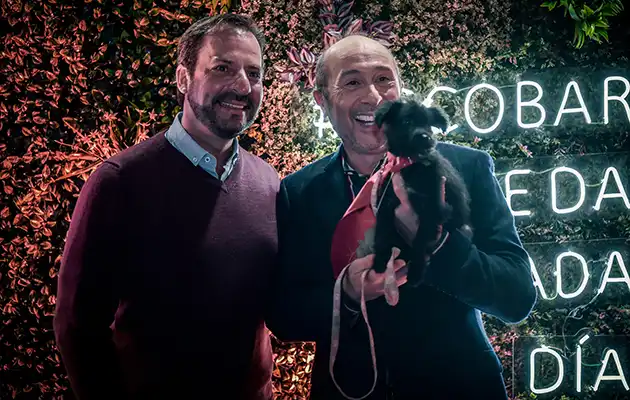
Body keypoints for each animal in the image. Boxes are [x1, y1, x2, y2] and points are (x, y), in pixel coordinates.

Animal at [369, 99, 472, 286]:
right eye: (406, 122)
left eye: (428, 124)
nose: (425, 137)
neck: (410, 162)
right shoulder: (386, 204)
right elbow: (381, 233)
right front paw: (379, 261)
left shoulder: (433, 209)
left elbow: (420, 241)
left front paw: (416, 272)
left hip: (464, 228)